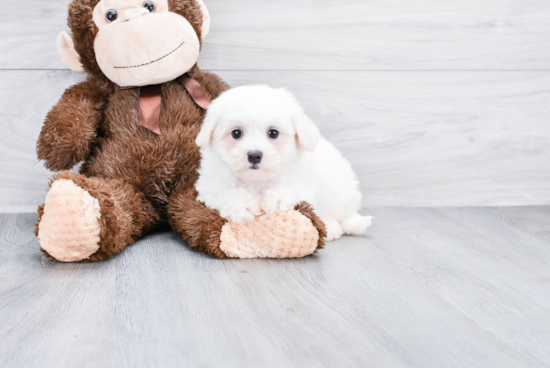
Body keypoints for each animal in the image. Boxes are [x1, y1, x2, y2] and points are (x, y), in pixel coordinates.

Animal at [196, 86, 374, 242]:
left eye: (273, 133)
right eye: (236, 133)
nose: (254, 155)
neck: (256, 179)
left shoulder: (303, 183)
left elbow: (293, 189)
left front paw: (276, 199)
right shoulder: (209, 186)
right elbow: (225, 193)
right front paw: (243, 206)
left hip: (337, 191)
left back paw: (331, 228)